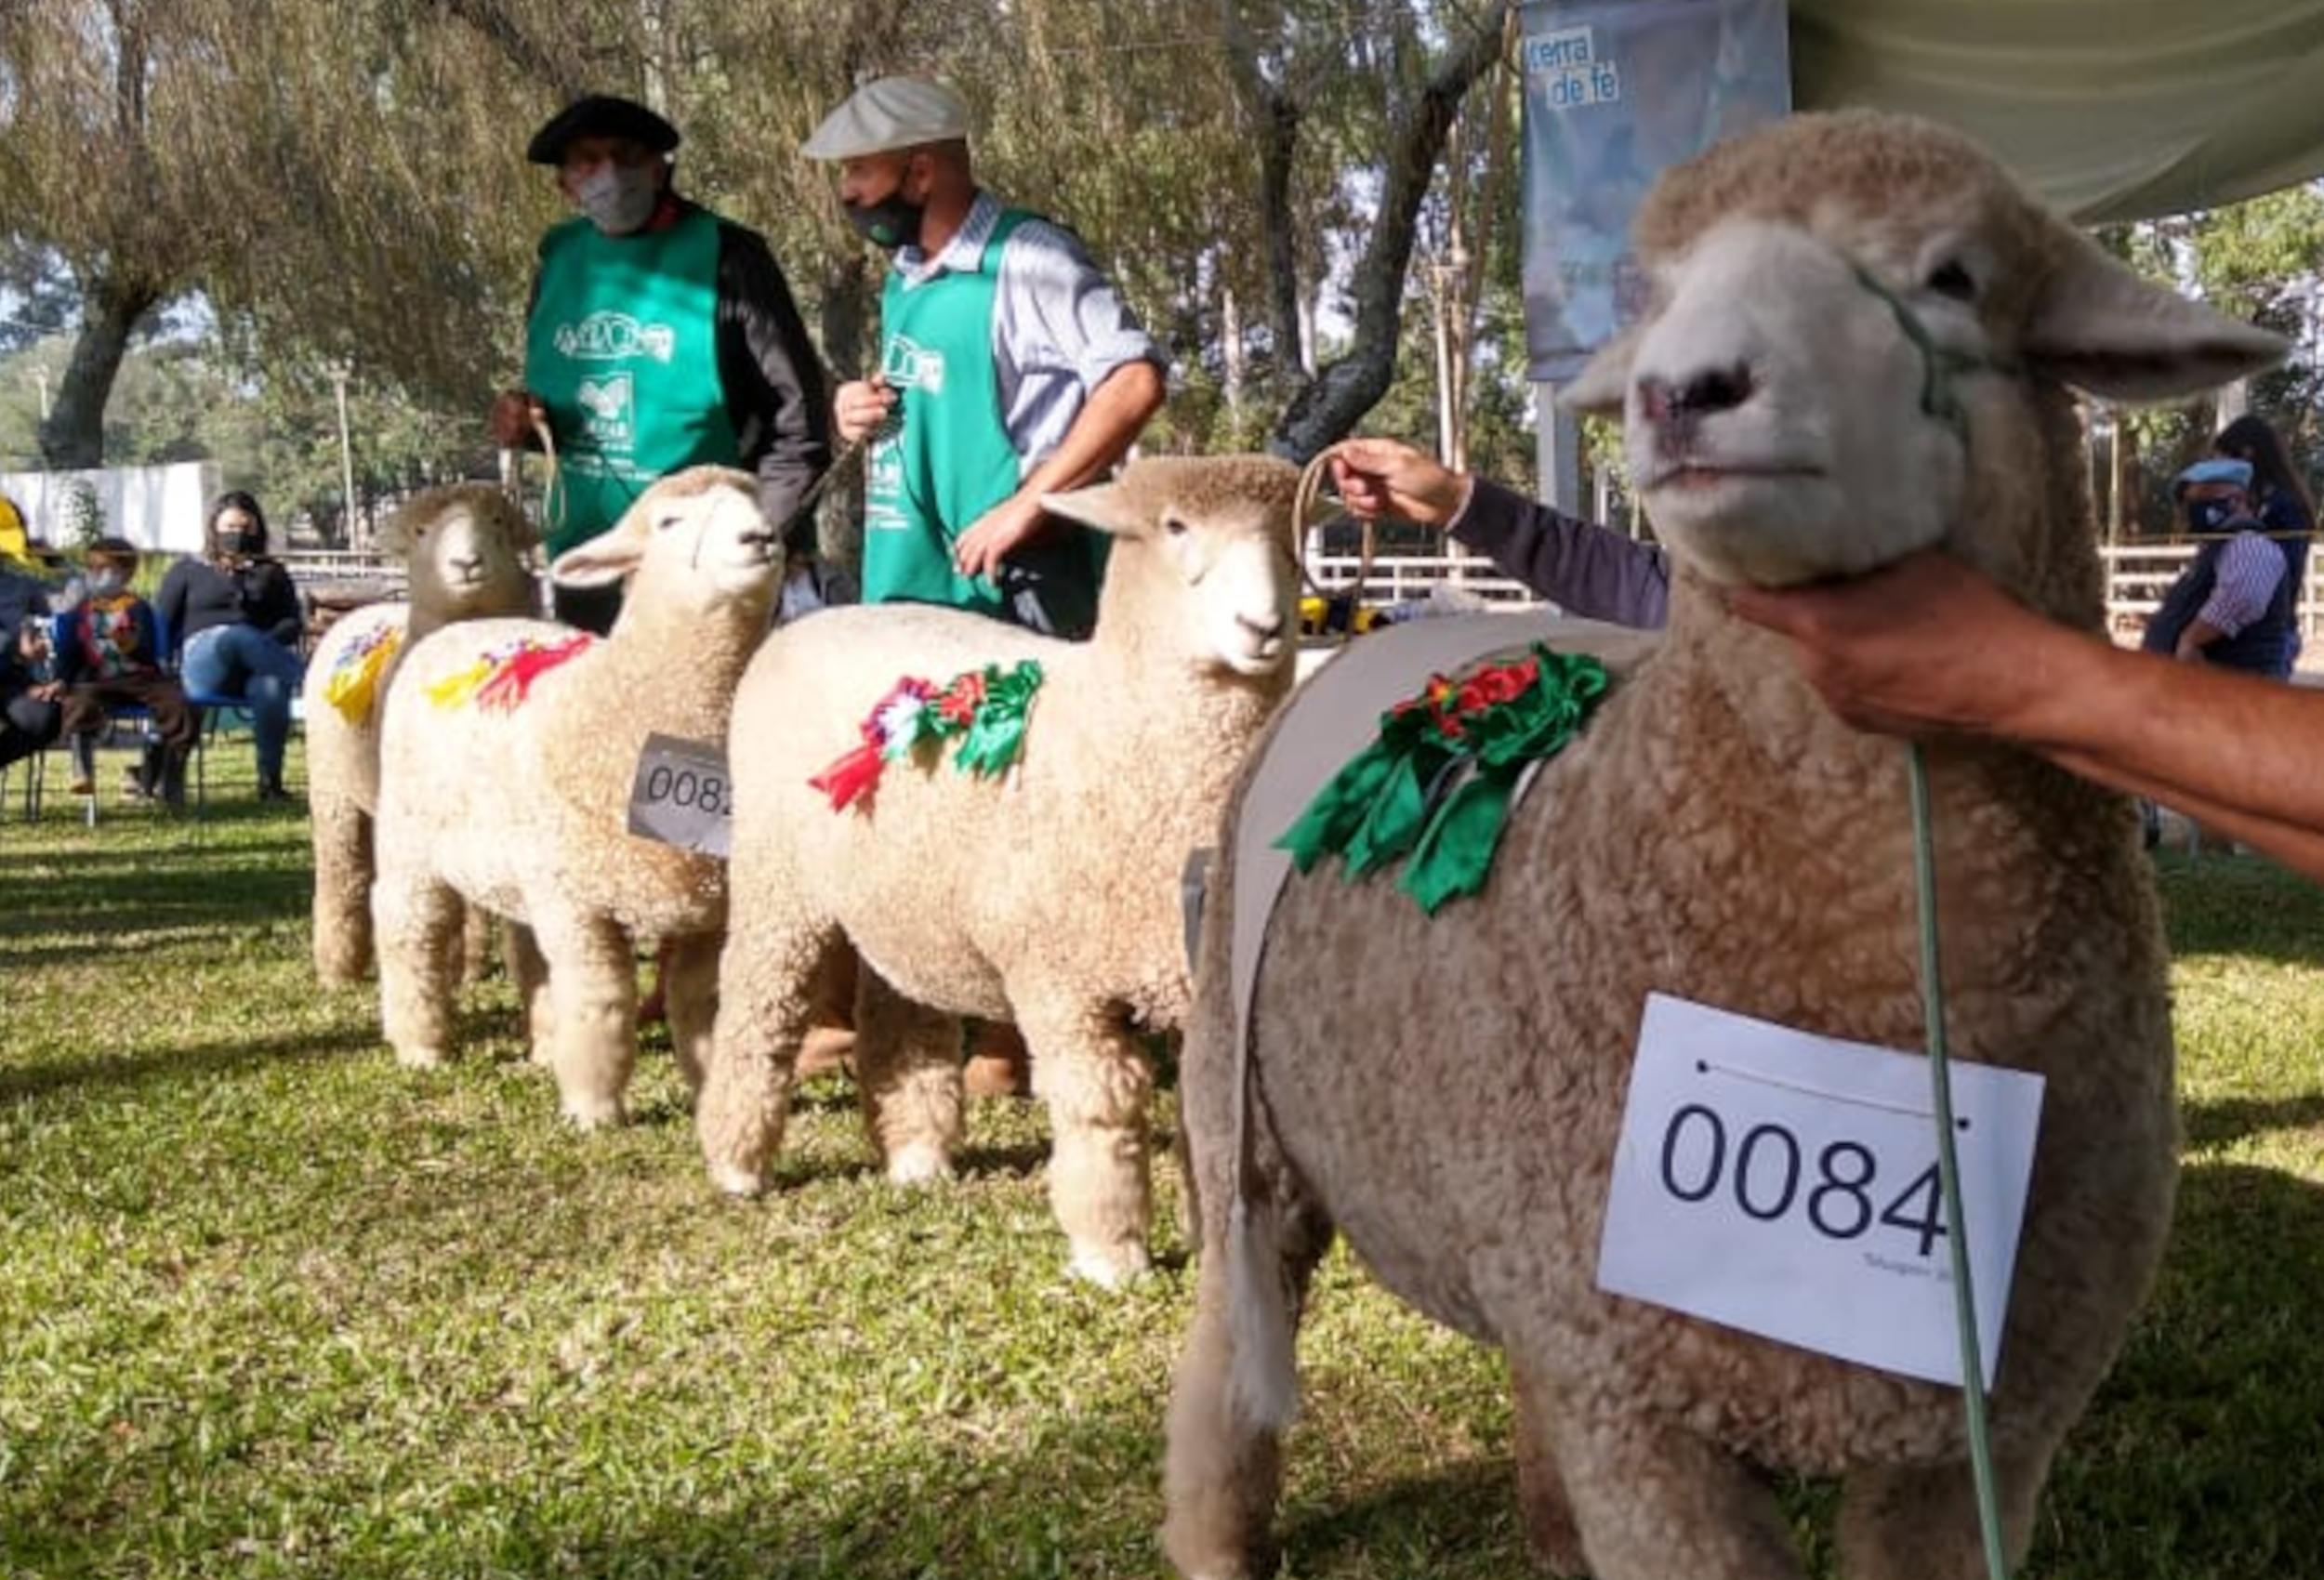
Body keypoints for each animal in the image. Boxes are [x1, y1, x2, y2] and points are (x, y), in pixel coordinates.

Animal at [307, 481, 536, 985]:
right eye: (420, 531)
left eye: (497, 523)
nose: (466, 564)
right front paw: (449, 965)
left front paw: (472, 965)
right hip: (332, 786)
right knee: (342, 869)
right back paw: (337, 968)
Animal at [369, 462, 781, 1129]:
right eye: (669, 521)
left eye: (759, 504)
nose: (760, 537)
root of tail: (465, 626)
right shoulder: (578, 903)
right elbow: (600, 997)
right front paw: (594, 1107)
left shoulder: (706, 911)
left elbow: (700, 1005)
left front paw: (706, 1093)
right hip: (409, 835)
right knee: (410, 924)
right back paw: (420, 1045)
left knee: (528, 951)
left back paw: (541, 1046)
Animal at [688, 453, 1311, 1283]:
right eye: (1175, 526)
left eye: (1291, 533)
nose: (1265, 628)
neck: (1115, 737)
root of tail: (810, 620)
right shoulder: (1058, 979)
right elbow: (1101, 1106)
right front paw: (1112, 1252)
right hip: (776, 877)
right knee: (760, 1006)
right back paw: (736, 1164)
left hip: (904, 894)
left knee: (904, 1017)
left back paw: (917, 1155)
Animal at [1162, 111, 2287, 1580]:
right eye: (1655, 288)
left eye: (1955, 277)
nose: (1682, 392)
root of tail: (1371, 632)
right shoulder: (1646, 1418)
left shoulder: (1983, 1426)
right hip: (1240, 1123)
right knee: (1228, 1346)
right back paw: (1214, 1533)